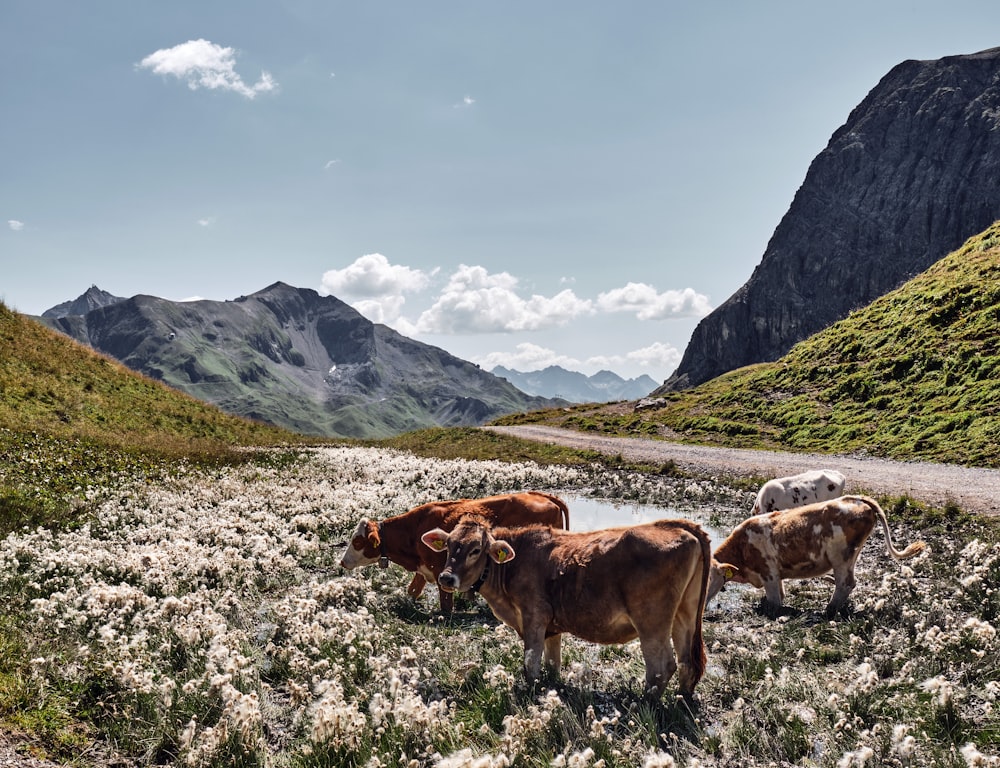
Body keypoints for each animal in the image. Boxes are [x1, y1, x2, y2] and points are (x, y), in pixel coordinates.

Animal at [338, 496, 568, 616]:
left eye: (357, 542)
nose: (342, 561)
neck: (414, 531)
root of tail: (543, 496)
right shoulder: (424, 570)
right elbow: (412, 591)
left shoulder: (442, 575)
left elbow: (446, 607)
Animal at [422, 516, 712, 704]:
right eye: (449, 545)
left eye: (475, 550)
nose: (446, 578)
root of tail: (676, 524)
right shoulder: (553, 626)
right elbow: (553, 663)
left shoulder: (534, 617)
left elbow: (531, 664)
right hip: (684, 616)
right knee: (687, 662)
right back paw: (682, 700)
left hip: (651, 621)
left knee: (661, 667)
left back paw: (645, 704)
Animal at [708, 498, 924, 616]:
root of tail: (857, 499)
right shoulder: (776, 575)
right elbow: (780, 593)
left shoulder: (768, 573)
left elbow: (775, 600)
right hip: (850, 556)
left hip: (841, 556)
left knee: (845, 583)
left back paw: (829, 610)